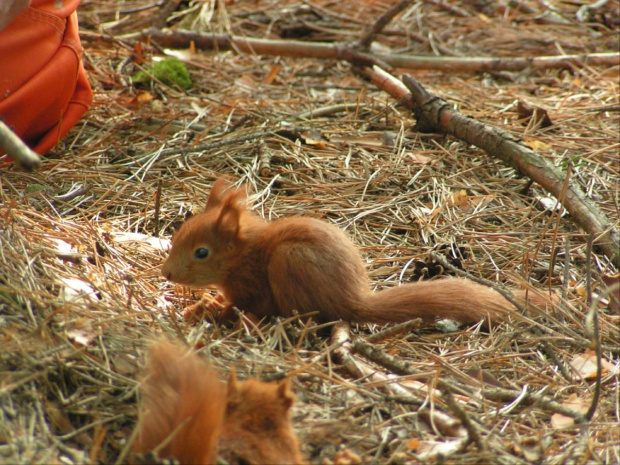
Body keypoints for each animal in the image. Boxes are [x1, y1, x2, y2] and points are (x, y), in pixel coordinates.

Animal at [160, 178, 552, 326]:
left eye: (201, 252)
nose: (166, 274)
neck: (242, 254)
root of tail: (351, 301)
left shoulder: (250, 283)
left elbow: (243, 305)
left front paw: (209, 309)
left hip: (290, 261)